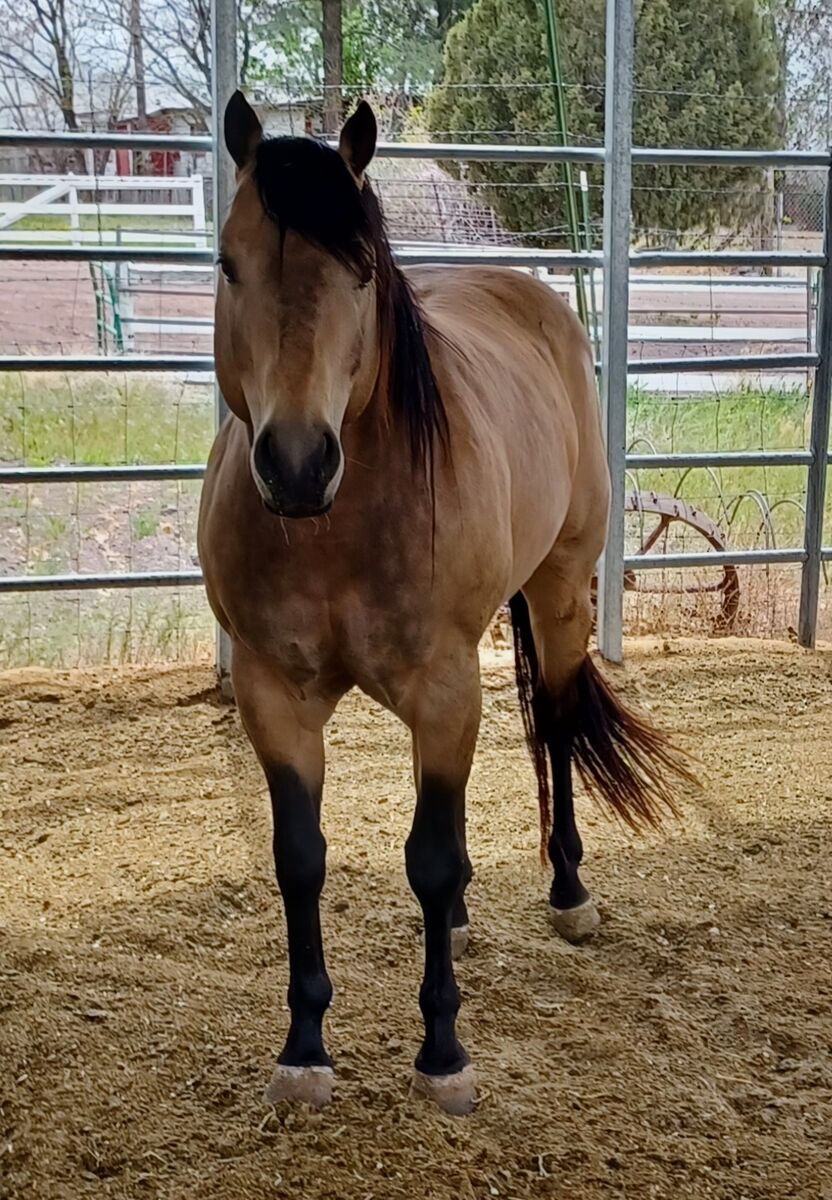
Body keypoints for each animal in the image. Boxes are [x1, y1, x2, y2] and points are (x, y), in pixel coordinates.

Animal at [197, 92, 693, 1116]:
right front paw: (305, 1046)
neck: (335, 528)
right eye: (228, 262)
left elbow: (425, 856)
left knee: (554, 722)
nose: (296, 464)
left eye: (360, 270)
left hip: (556, 596)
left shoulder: (442, 685)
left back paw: (569, 892)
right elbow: (301, 858)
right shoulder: (273, 696)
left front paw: (442, 1050)